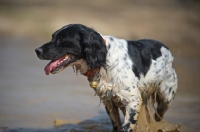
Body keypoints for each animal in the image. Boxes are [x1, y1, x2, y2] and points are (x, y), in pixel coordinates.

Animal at [35, 24, 177, 132]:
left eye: (62, 39)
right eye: (53, 37)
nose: (37, 50)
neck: (104, 58)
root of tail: (166, 48)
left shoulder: (133, 100)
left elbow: (127, 126)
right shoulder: (108, 99)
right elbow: (116, 125)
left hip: (166, 97)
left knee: (159, 116)